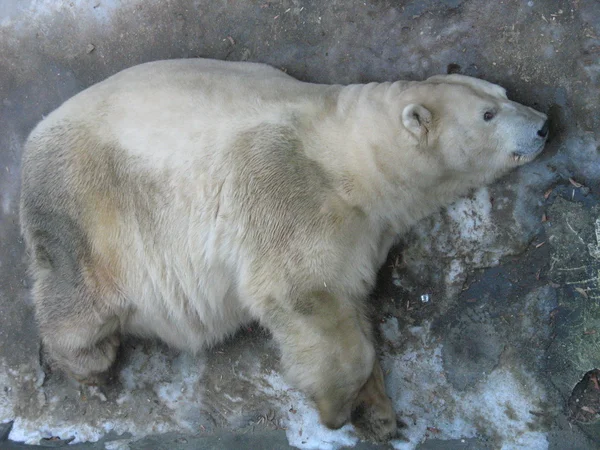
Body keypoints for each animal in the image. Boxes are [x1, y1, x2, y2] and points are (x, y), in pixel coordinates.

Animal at [19, 58, 548, 442]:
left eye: (503, 94)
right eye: (488, 115)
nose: (544, 124)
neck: (347, 157)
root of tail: (33, 139)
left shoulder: (363, 232)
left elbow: (351, 302)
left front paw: (377, 412)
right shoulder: (288, 193)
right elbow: (303, 296)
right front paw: (338, 409)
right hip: (89, 208)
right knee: (76, 293)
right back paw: (90, 363)